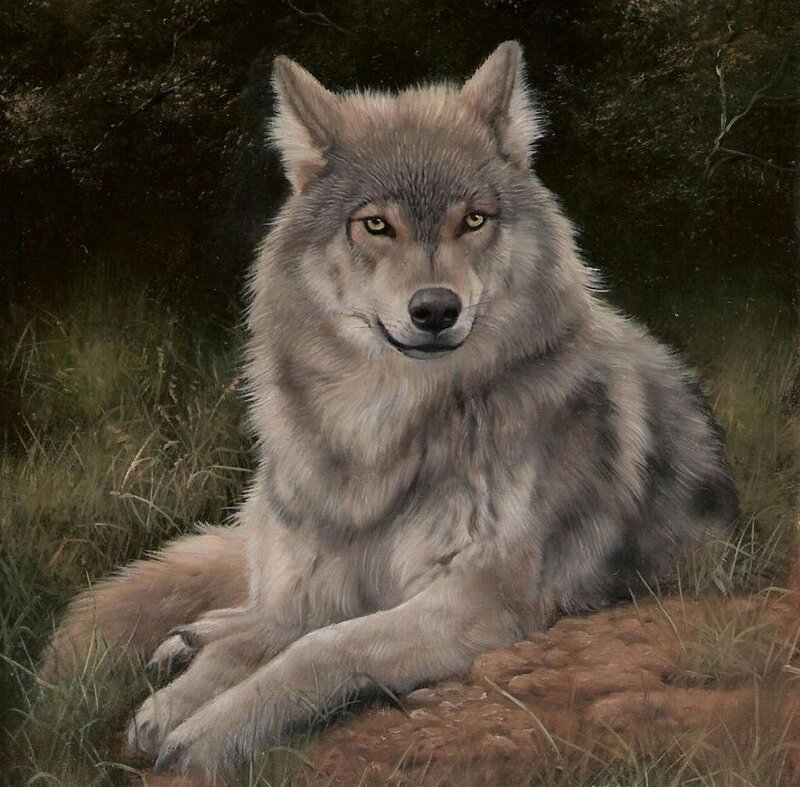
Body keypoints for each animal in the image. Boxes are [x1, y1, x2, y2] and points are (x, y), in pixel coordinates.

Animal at [44, 41, 738, 777]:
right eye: (376, 224)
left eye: (473, 220)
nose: (435, 309)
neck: (385, 432)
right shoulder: (324, 579)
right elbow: (272, 634)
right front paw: (180, 700)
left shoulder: (480, 600)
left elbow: (322, 645)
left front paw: (208, 732)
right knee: (253, 603)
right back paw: (190, 637)